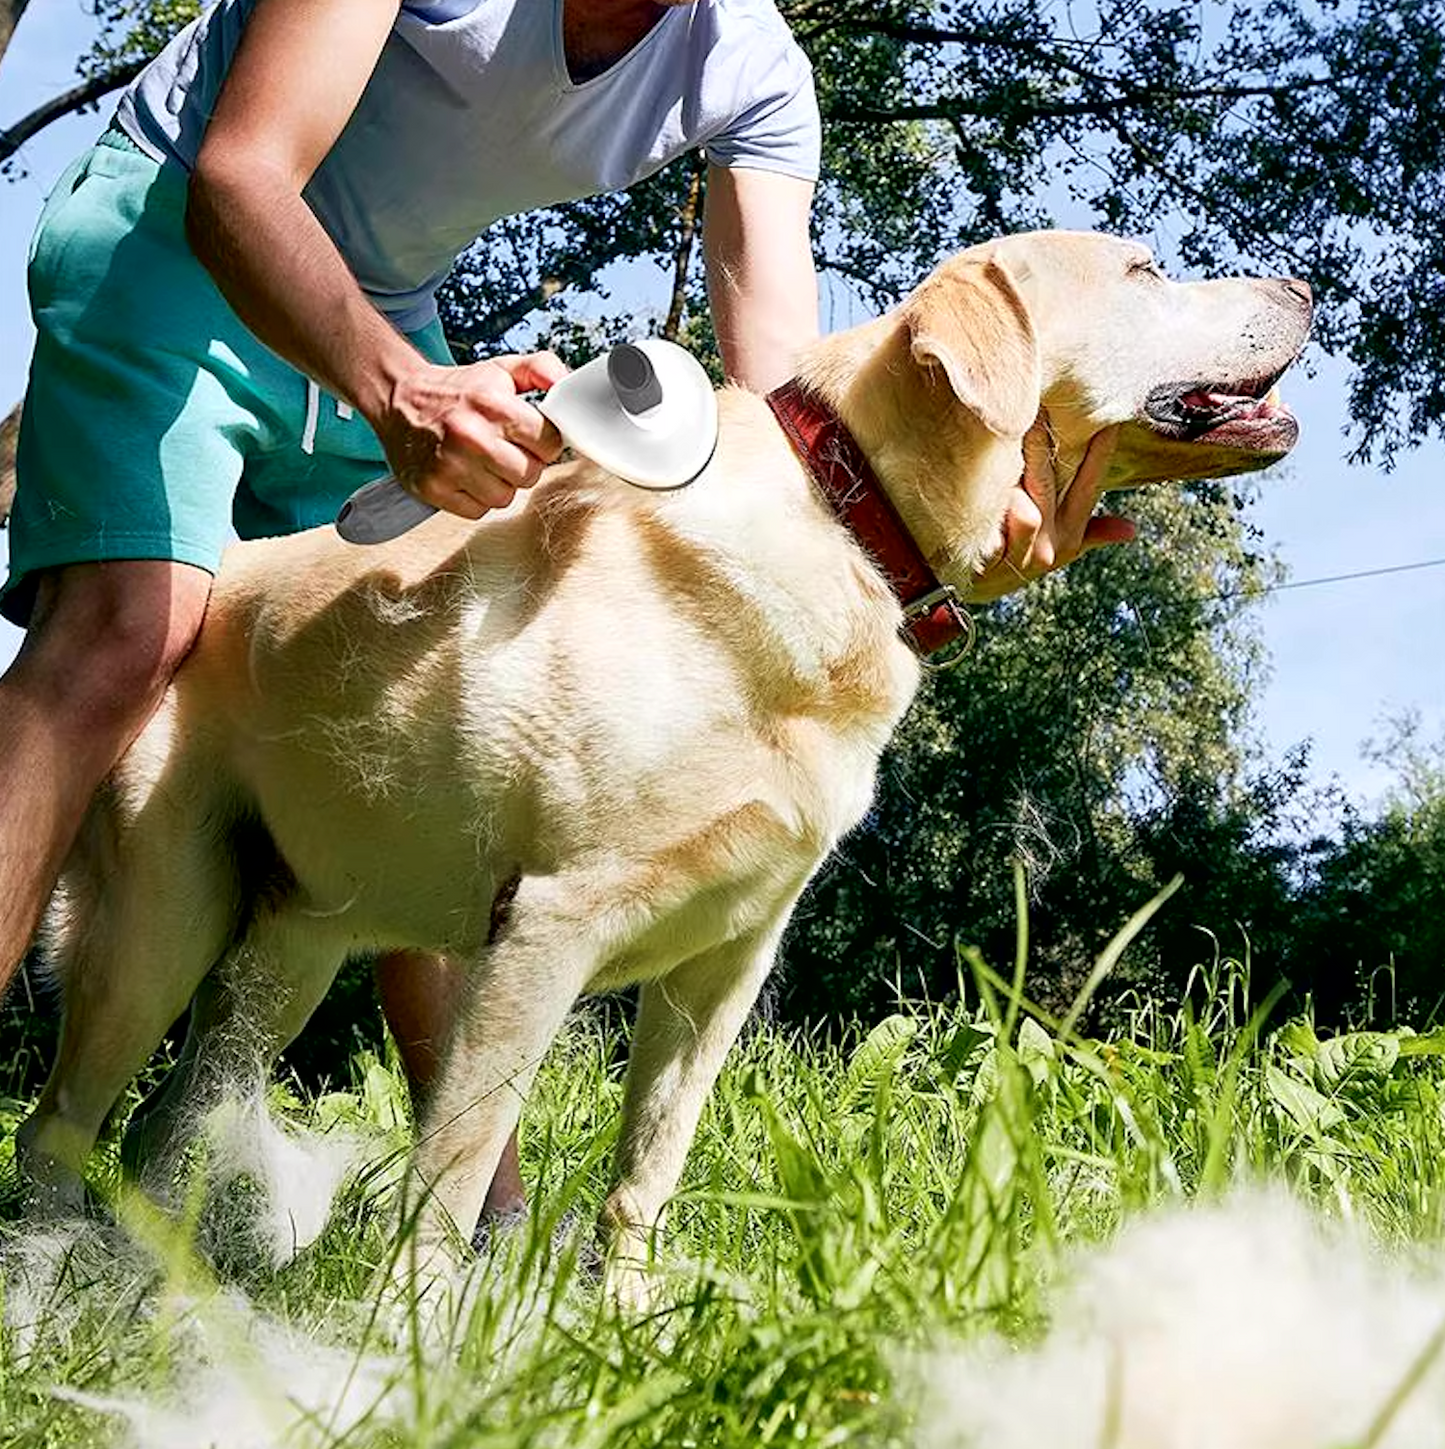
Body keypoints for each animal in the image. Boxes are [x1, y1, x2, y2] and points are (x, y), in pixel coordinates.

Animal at [19, 231, 1310, 1286]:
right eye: (1144, 271)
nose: (1301, 287)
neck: (850, 517)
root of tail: (215, 583)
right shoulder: (542, 931)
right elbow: (452, 1174)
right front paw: (419, 1349)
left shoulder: (725, 960)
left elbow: (644, 1174)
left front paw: (627, 1323)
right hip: (158, 927)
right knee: (61, 1124)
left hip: (284, 958)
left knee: (169, 1133)